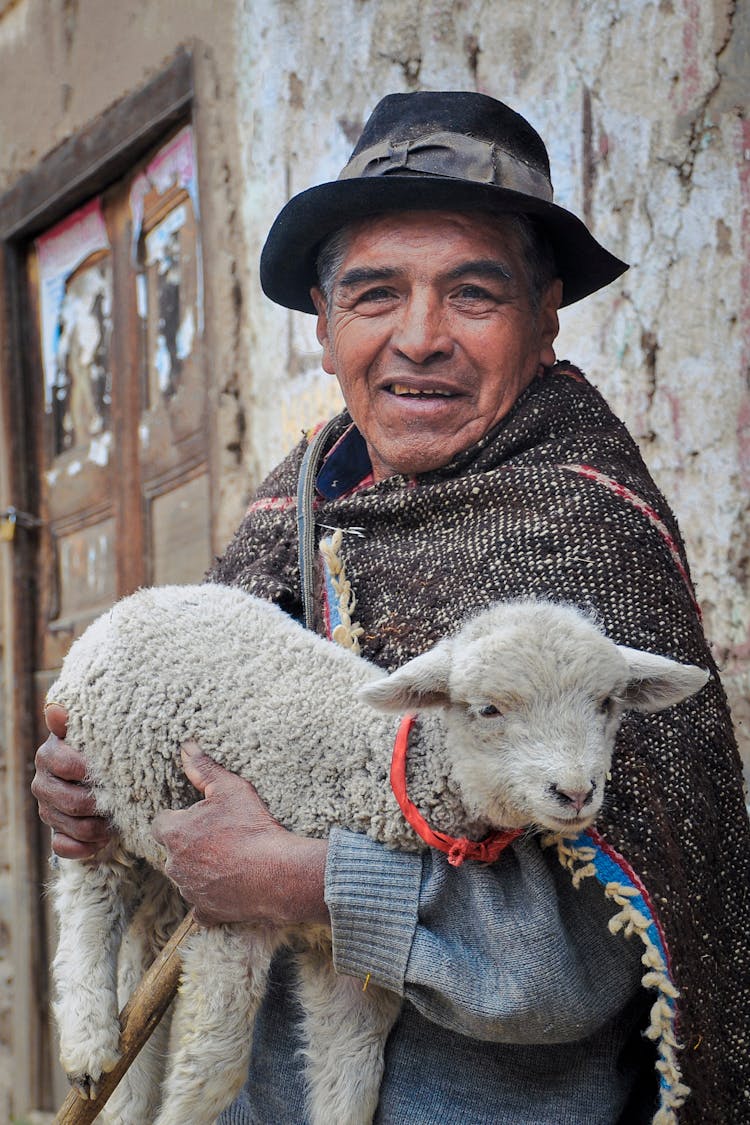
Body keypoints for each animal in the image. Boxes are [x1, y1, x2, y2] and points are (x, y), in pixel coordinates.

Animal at [48, 580, 710, 1125]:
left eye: (607, 704)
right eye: (488, 709)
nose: (574, 792)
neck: (383, 775)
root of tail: (139, 598)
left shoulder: (348, 957)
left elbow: (351, 1081)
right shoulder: (230, 908)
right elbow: (214, 1070)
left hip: (157, 838)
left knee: (144, 938)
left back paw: (124, 1091)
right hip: (101, 779)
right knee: (90, 901)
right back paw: (89, 1041)